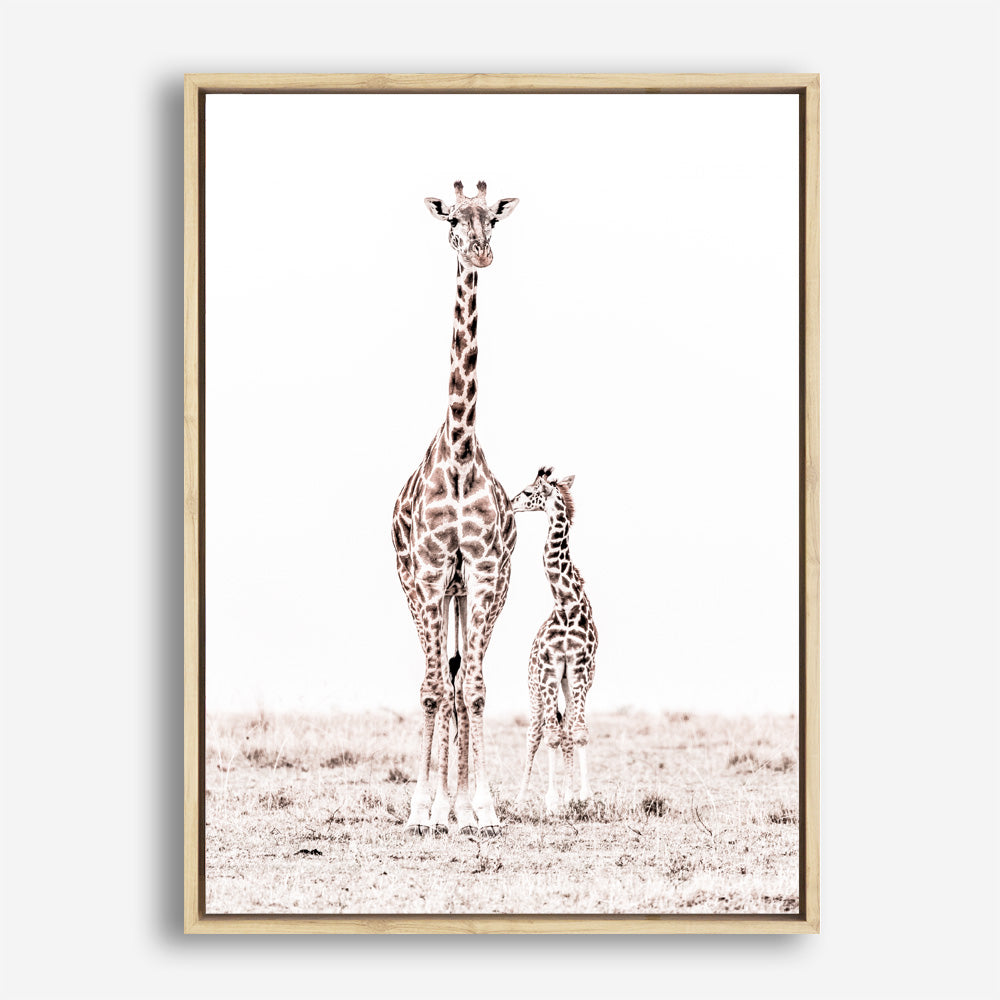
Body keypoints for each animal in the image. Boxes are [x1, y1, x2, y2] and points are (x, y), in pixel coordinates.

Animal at [511, 468, 598, 814]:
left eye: (526, 491)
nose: (510, 503)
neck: (566, 602)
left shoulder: (579, 668)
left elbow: (579, 732)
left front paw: (581, 797)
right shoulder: (549, 669)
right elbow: (550, 736)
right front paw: (550, 802)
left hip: (568, 683)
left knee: (566, 727)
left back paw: (568, 796)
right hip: (534, 686)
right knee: (535, 732)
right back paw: (519, 800)